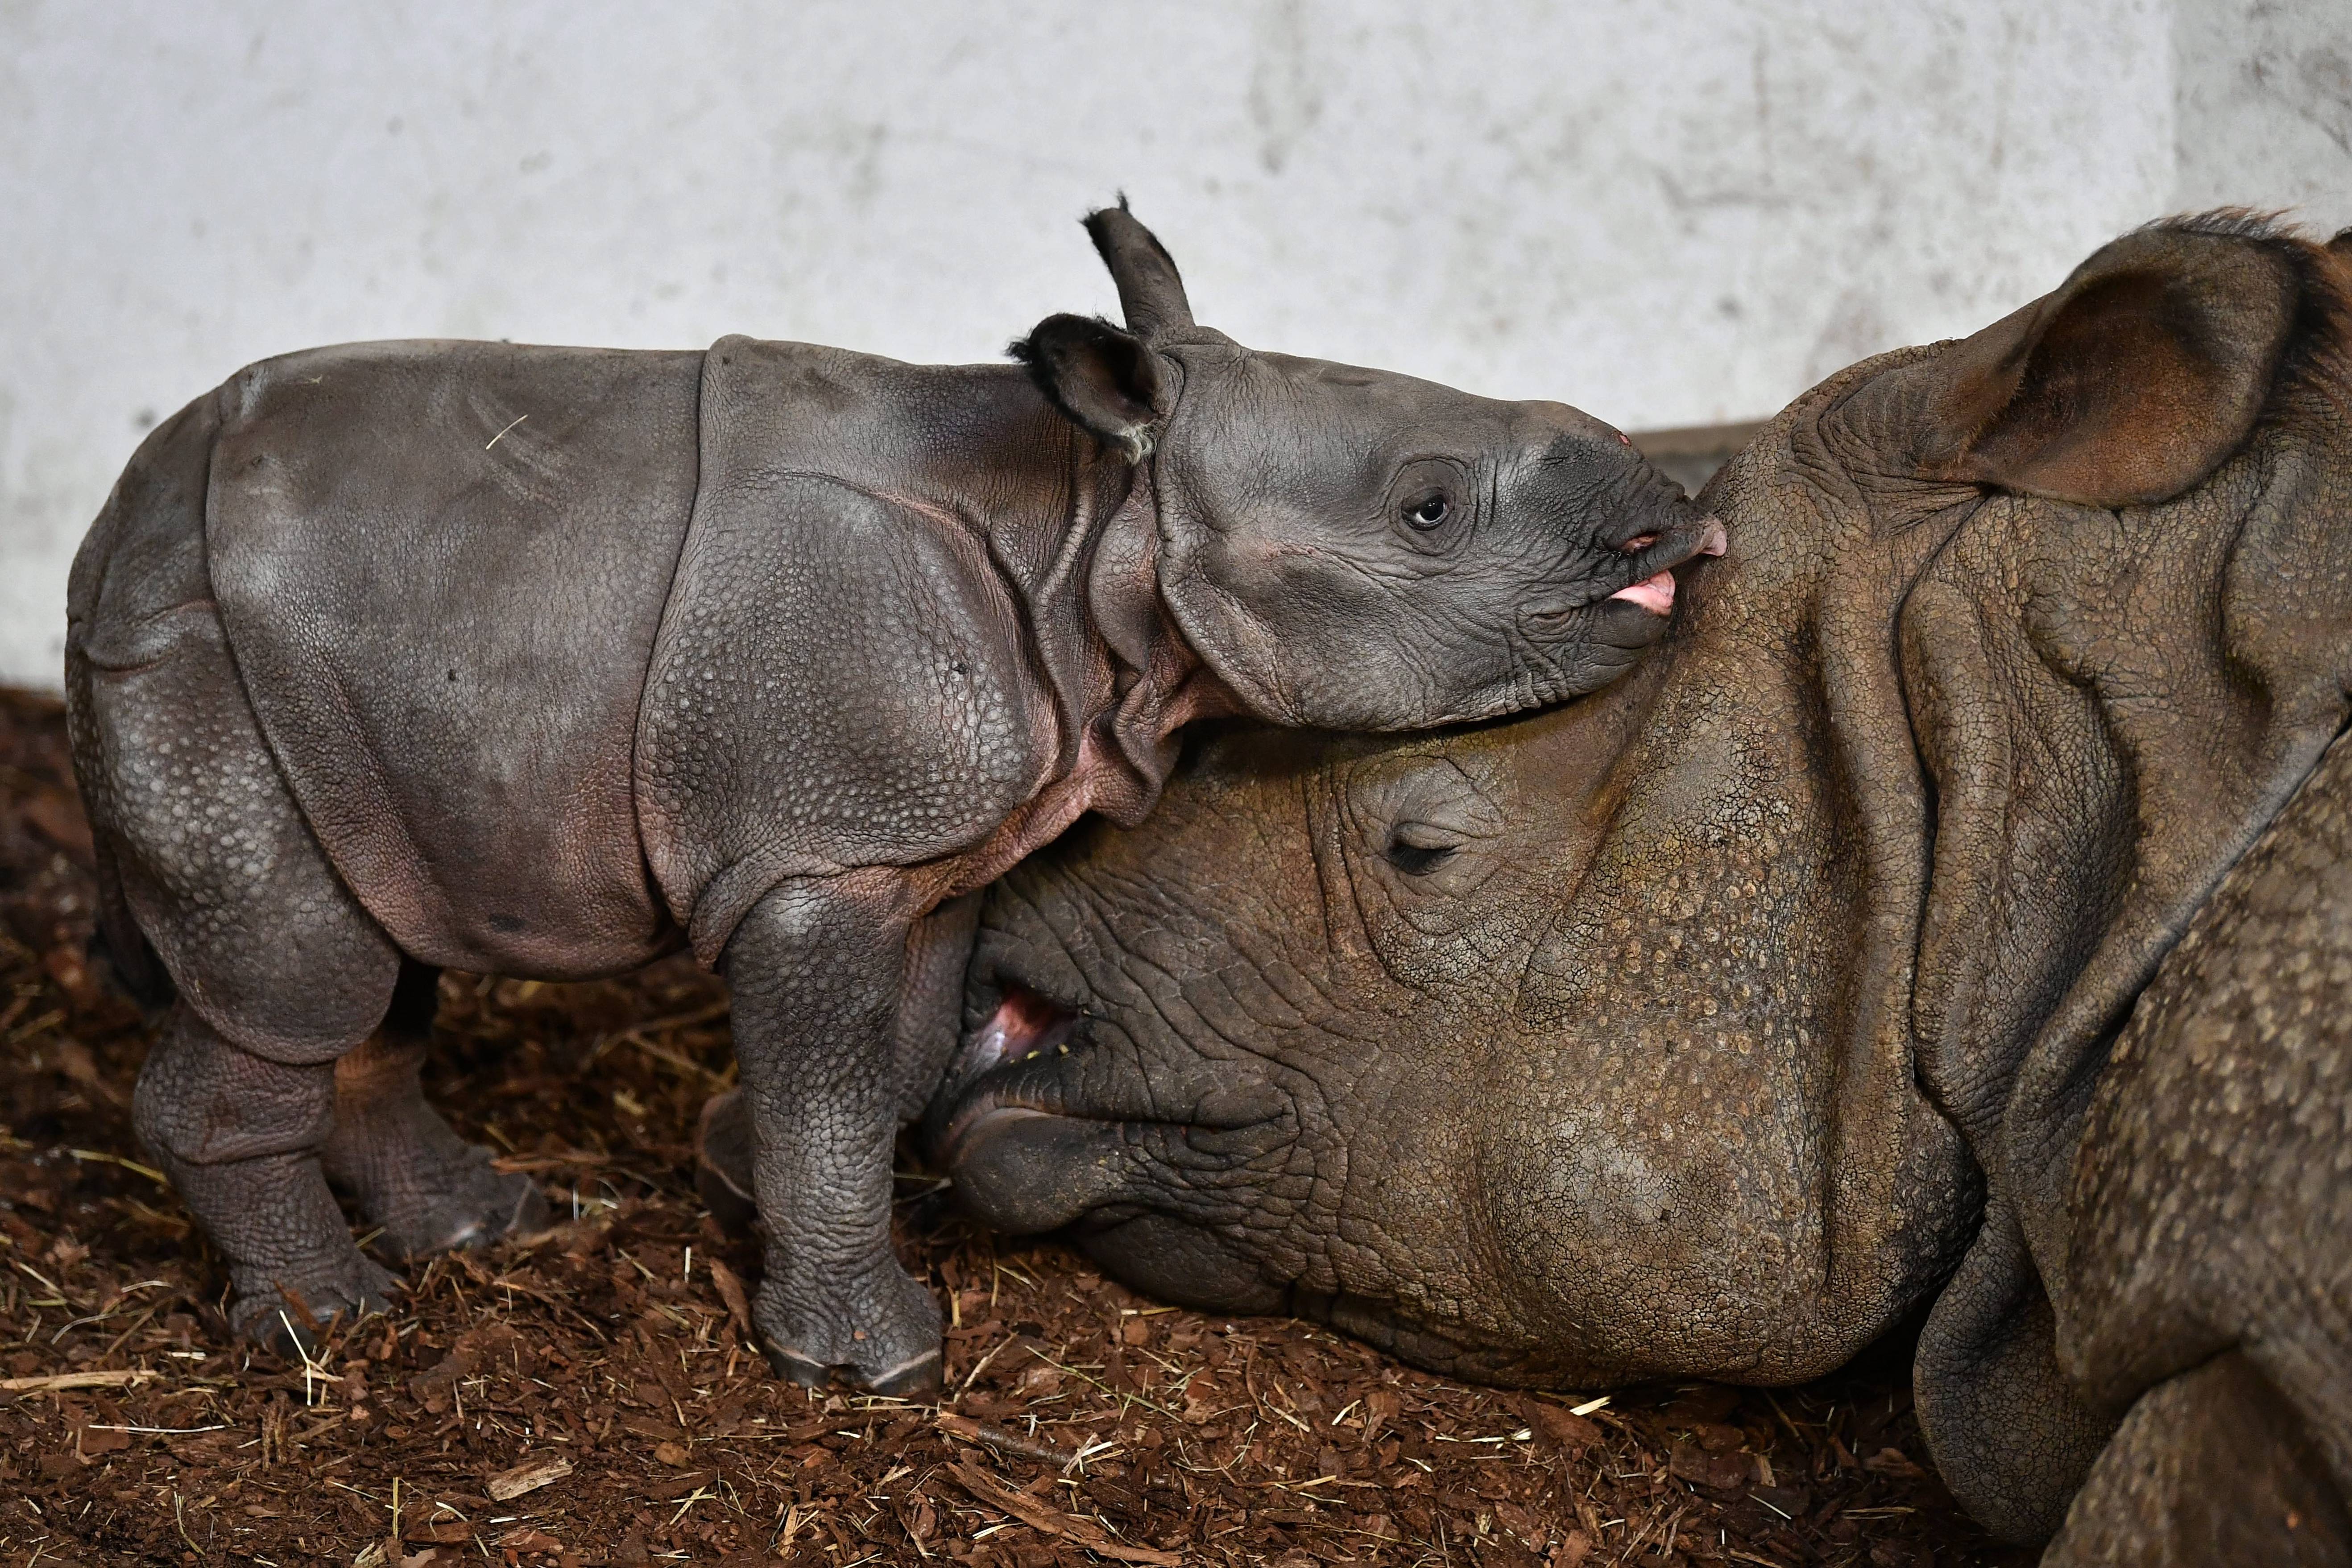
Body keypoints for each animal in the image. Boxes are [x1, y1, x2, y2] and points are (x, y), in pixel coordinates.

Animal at [64, 202, 1722, 1391]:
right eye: (1427, 507)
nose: (1679, 522)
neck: (1098, 526)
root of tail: (108, 523)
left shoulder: (915, 840)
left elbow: (898, 1054)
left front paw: (749, 1187)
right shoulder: (820, 851)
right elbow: (840, 1078)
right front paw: (872, 1362)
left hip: (328, 674)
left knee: (374, 952)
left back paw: (488, 1225)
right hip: (205, 657)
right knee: (298, 978)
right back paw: (330, 1323)